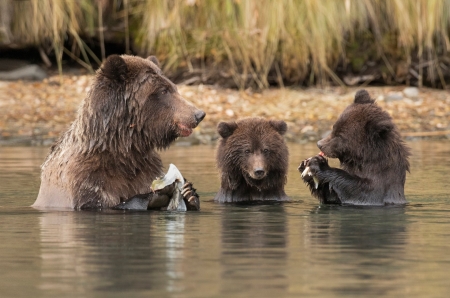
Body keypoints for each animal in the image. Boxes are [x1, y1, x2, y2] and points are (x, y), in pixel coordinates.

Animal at [33, 54, 206, 211]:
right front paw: (157, 193)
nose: (198, 114)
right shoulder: (84, 179)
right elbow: (101, 203)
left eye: (174, 87)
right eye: (164, 90)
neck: (123, 147)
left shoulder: (145, 167)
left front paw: (188, 192)